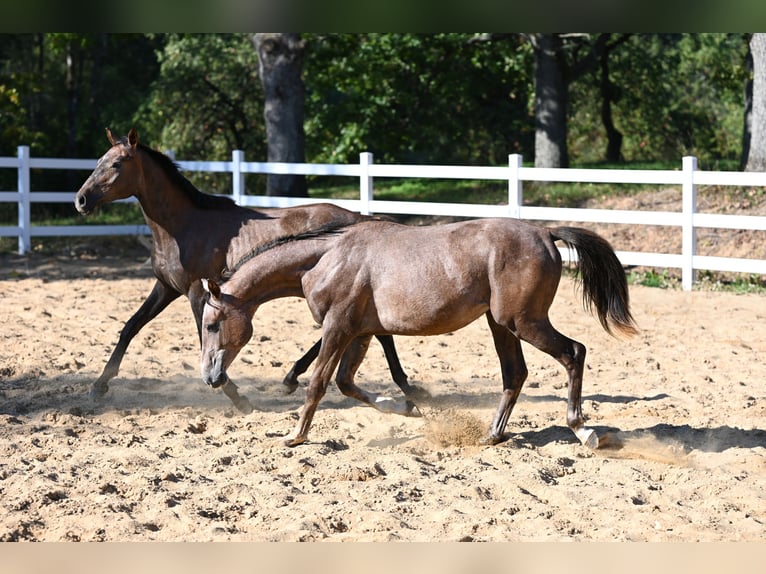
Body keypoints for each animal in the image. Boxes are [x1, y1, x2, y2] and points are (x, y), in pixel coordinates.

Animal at [75, 128, 416, 412]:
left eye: (117, 164)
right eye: (99, 161)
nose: (81, 200)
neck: (183, 228)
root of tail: (361, 219)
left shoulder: (198, 292)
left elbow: (205, 339)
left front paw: (236, 396)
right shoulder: (166, 287)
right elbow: (130, 328)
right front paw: (98, 386)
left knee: (371, 332)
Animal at [201, 218, 640, 448]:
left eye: (211, 324)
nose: (211, 377)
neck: (329, 258)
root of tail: (545, 232)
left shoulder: (338, 328)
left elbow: (319, 383)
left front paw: (295, 436)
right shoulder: (360, 333)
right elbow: (346, 383)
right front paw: (406, 407)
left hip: (524, 322)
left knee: (574, 352)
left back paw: (583, 429)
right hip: (500, 325)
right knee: (515, 374)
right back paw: (492, 435)